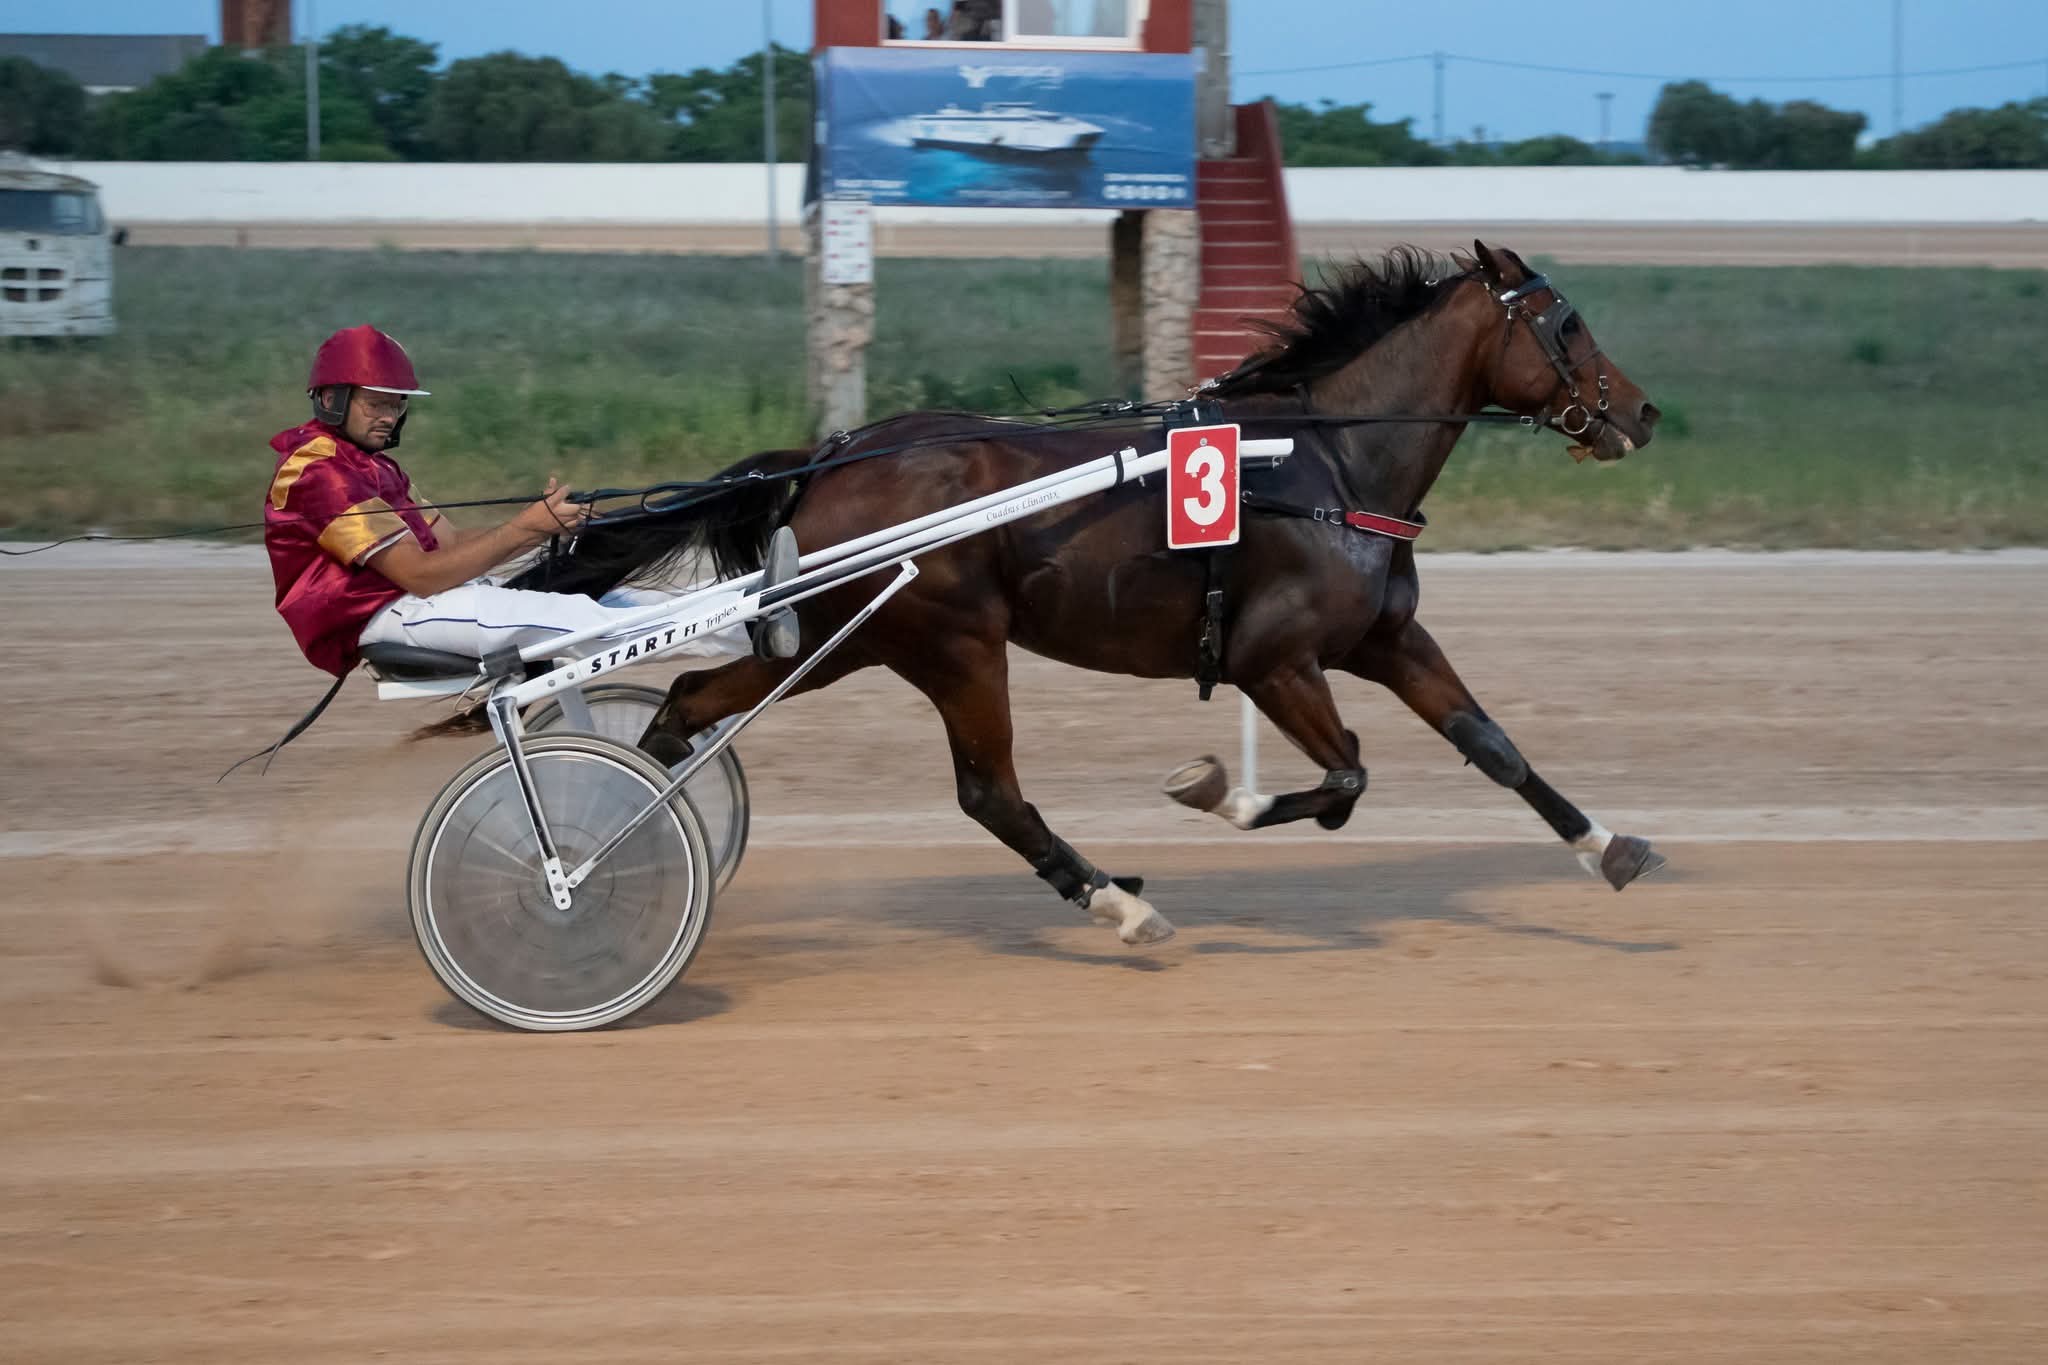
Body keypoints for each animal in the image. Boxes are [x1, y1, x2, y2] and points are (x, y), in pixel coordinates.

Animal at [518, 242, 1665, 945]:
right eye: (1565, 323)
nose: (1643, 413)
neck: (1328, 466)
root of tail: (835, 455)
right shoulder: (1272, 658)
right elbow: (1344, 777)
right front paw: (1216, 791)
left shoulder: (1384, 639)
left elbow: (1491, 746)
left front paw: (1609, 847)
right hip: (953, 643)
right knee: (989, 791)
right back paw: (1115, 900)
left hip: (840, 638)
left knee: (688, 701)